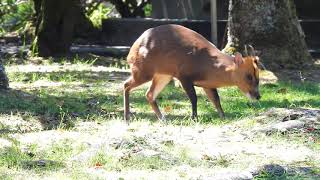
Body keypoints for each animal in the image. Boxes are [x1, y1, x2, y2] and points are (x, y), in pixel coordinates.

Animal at [124, 24, 262, 122]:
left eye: (258, 77)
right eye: (248, 76)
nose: (258, 96)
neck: (209, 65)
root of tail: (131, 52)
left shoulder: (208, 84)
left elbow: (216, 99)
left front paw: (223, 117)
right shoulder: (183, 76)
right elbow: (194, 98)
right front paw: (194, 118)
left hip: (163, 75)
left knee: (149, 94)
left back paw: (163, 119)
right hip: (143, 70)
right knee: (126, 85)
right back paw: (127, 117)